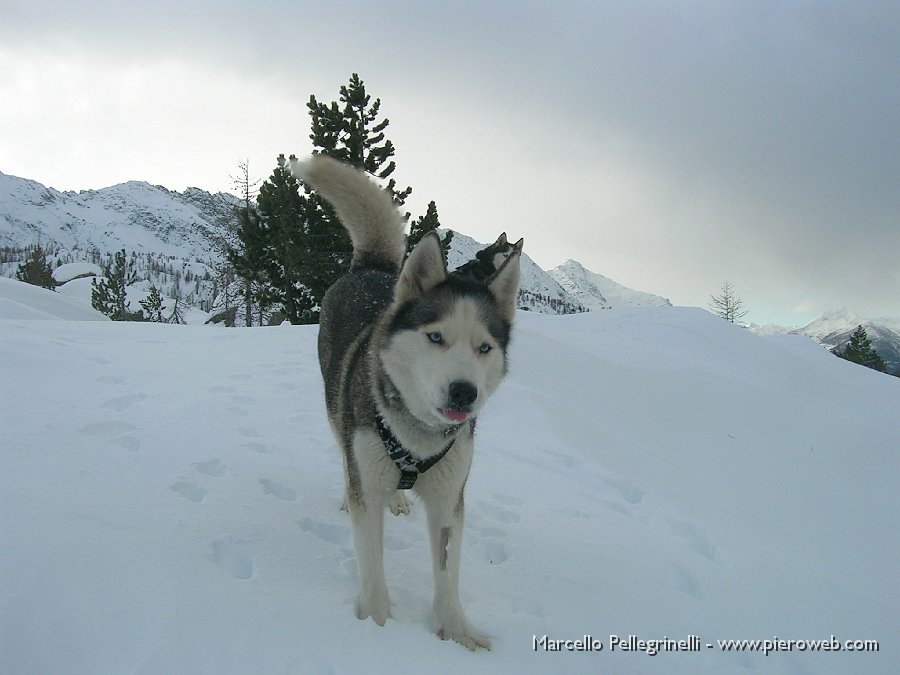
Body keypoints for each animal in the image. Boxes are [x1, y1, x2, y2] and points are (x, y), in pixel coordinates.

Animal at [292, 156, 520, 652]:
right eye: (435, 337)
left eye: (484, 348)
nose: (464, 392)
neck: (417, 437)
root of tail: (372, 268)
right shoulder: (367, 485)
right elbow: (372, 570)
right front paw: (377, 629)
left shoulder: (449, 499)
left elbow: (447, 575)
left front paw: (457, 632)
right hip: (338, 414)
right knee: (344, 456)